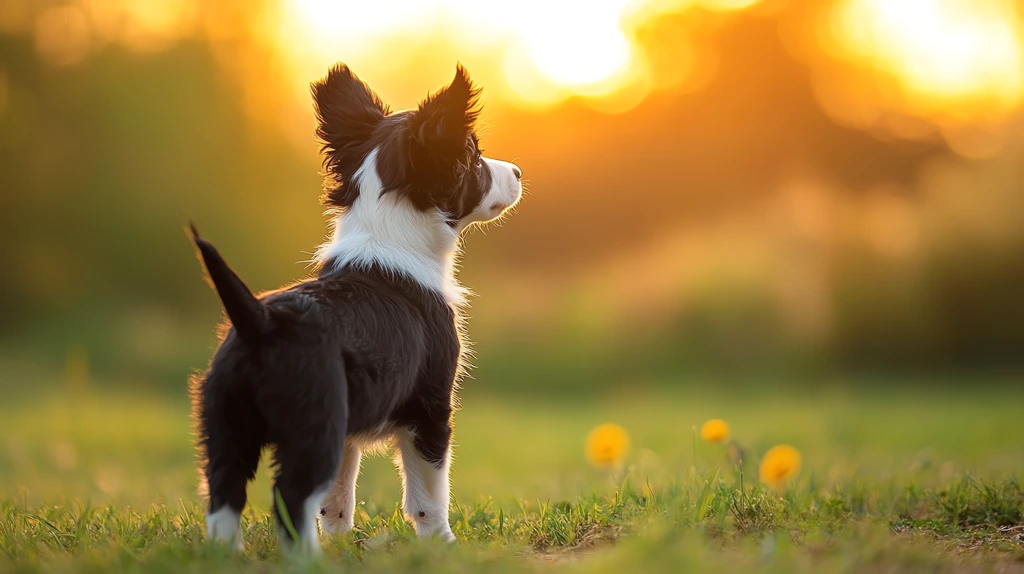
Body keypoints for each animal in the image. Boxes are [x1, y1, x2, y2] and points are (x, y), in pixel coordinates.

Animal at [192, 64, 524, 552]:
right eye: (474, 156)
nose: (518, 171)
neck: (386, 233)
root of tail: (260, 321)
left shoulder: (350, 429)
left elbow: (339, 495)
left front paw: (341, 542)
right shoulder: (429, 410)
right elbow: (428, 493)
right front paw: (442, 545)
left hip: (226, 423)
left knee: (224, 493)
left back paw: (227, 556)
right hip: (315, 422)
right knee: (290, 495)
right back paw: (307, 560)